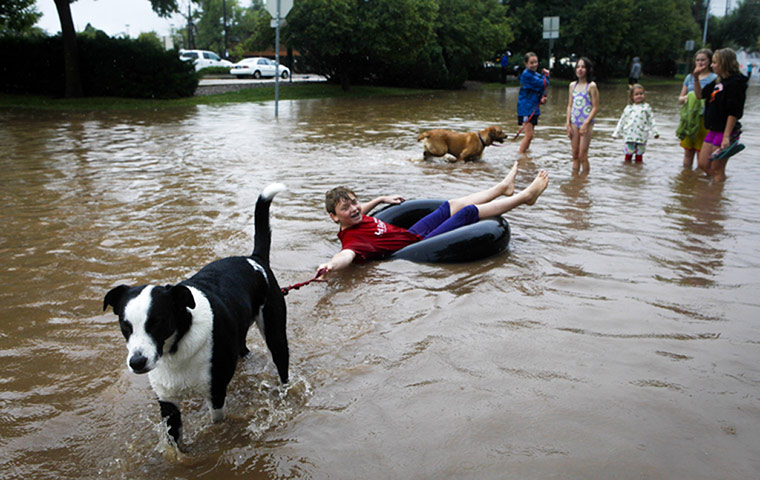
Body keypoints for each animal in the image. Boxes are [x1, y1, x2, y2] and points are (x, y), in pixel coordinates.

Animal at [104, 182, 288, 444]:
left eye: (157, 322)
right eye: (125, 326)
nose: (137, 362)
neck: (176, 347)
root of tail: (254, 259)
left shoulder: (216, 392)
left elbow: (217, 420)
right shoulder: (167, 401)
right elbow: (175, 441)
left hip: (275, 332)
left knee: (281, 360)